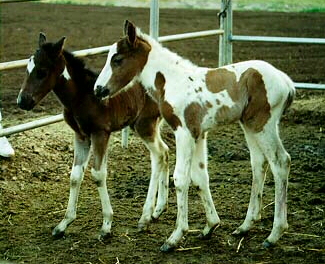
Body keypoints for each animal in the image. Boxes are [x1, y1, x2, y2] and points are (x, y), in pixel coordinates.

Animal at [17, 33, 170, 239]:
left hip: (145, 125)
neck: (82, 97)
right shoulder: (81, 136)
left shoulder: (100, 133)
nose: (22, 101)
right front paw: (63, 223)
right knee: (166, 151)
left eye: (42, 71)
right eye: (27, 69)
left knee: (159, 156)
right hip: (151, 124)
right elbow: (75, 176)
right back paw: (158, 209)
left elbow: (98, 174)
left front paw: (106, 225)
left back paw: (145, 217)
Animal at [93, 21, 294, 252]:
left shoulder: (184, 132)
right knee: (259, 164)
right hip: (249, 125)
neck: (173, 80)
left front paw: (175, 237)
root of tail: (286, 81)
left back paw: (274, 234)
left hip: (263, 124)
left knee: (280, 161)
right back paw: (245, 226)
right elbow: (199, 177)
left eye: (117, 59)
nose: (98, 89)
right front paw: (210, 226)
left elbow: (181, 178)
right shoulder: (199, 134)